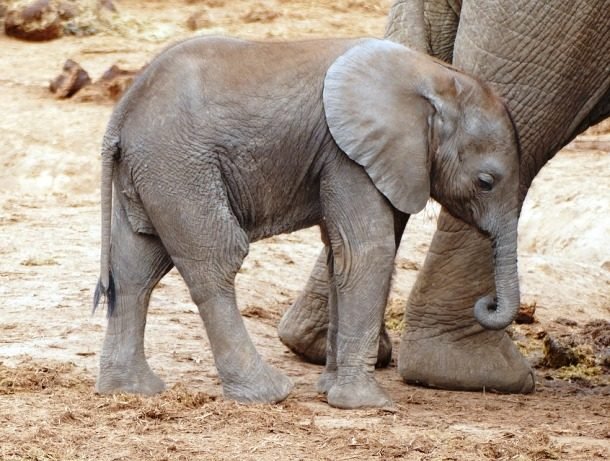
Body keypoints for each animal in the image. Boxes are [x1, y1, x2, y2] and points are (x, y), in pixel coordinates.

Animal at [94, 36, 516, 410]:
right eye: (486, 182)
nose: (487, 303)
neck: (435, 76)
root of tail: (121, 113)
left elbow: (339, 256)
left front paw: (329, 390)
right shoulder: (348, 156)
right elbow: (367, 252)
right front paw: (367, 404)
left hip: (152, 173)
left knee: (135, 268)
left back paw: (131, 390)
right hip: (180, 167)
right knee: (215, 261)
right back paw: (267, 394)